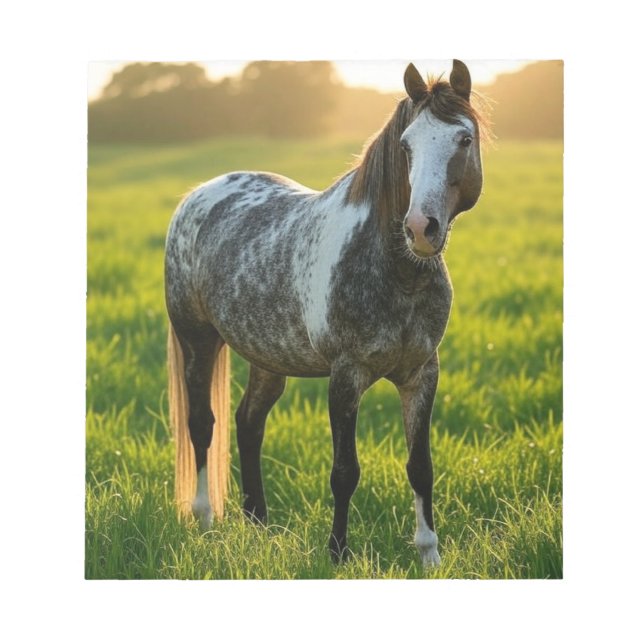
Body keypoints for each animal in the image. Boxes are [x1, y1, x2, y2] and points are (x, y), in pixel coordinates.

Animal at [165, 60, 485, 567]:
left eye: (464, 139)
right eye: (406, 146)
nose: (421, 228)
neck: (397, 273)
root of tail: (197, 196)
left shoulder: (421, 373)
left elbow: (420, 466)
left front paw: (429, 554)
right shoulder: (345, 375)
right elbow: (344, 471)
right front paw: (337, 553)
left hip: (267, 358)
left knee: (248, 423)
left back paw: (258, 523)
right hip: (197, 340)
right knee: (202, 424)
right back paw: (205, 518)